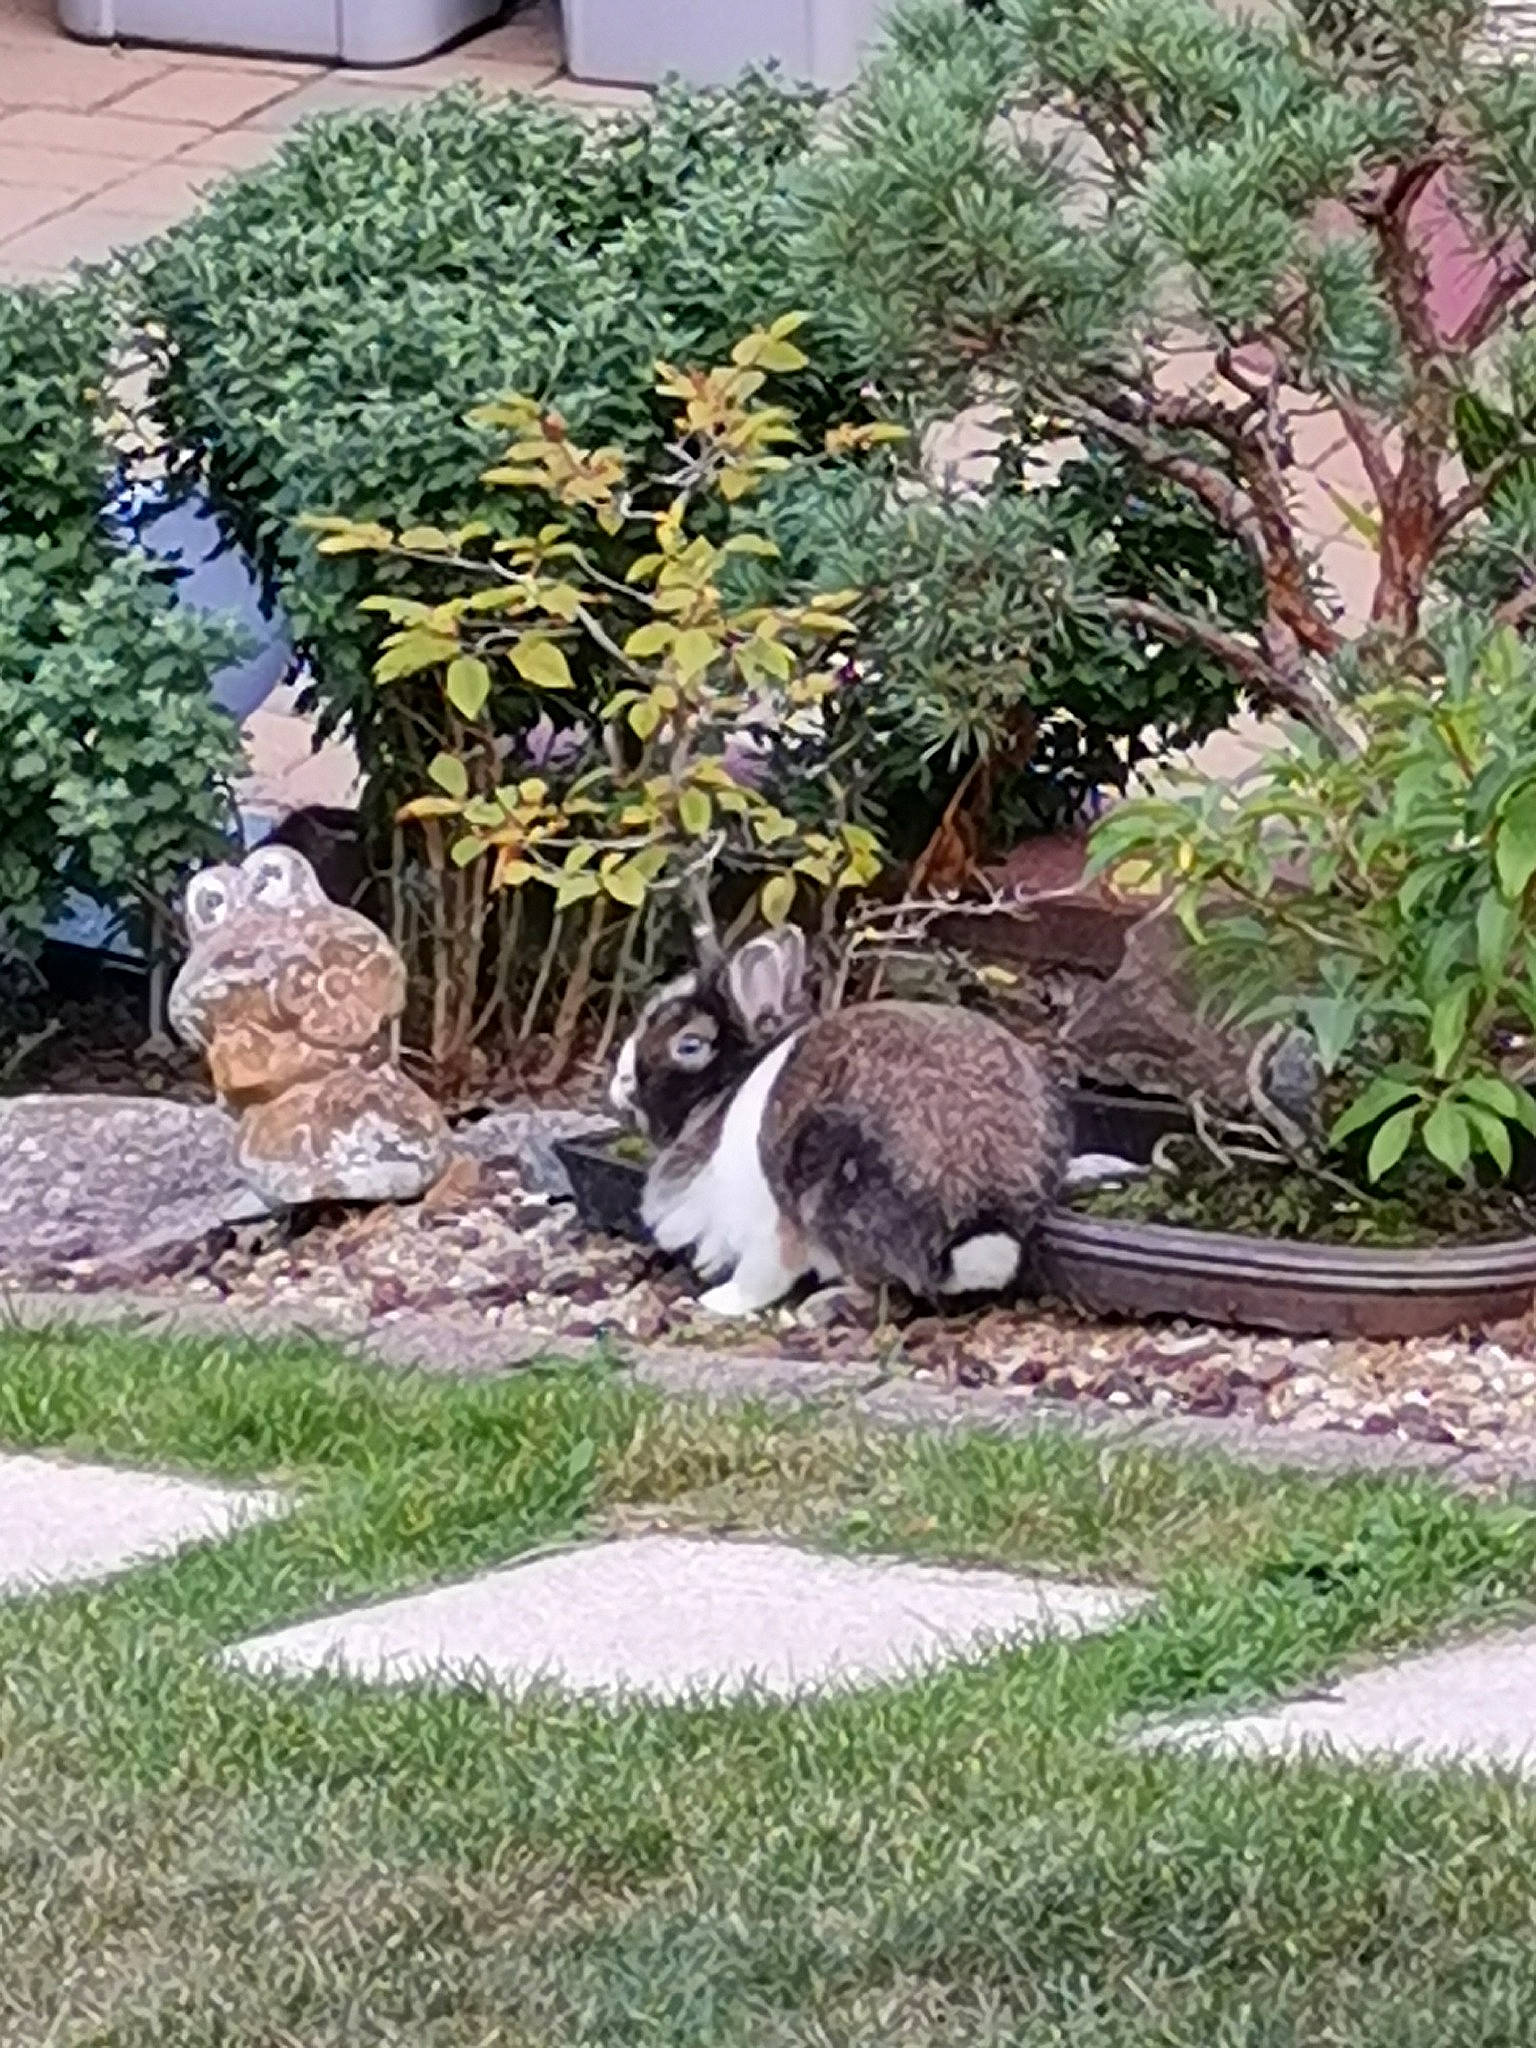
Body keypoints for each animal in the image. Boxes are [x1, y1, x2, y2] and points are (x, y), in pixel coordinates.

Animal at [610, 926, 1072, 1317]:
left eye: (689, 1045)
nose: (619, 1084)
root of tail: (986, 1213)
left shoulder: (768, 1221)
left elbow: (764, 1273)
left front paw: (718, 1302)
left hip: (836, 1189)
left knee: (880, 1288)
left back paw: (821, 1306)